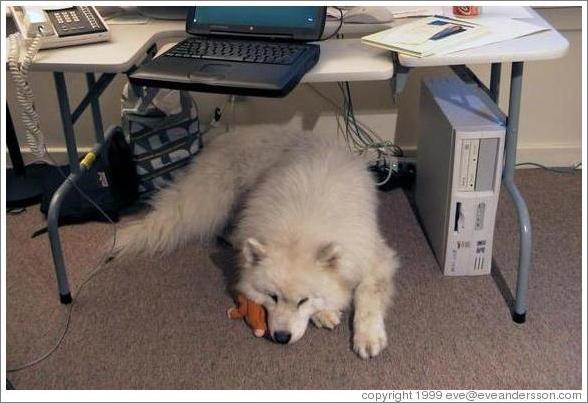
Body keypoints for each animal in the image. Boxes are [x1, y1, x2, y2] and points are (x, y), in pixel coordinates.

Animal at [113, 127, 400, 360]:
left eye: (303, 300)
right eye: (272, 297)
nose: (281, 338)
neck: (301, 227)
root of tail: (220, 138)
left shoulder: (374, 256)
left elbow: (368, 294)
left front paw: (367, 337)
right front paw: (326, 313)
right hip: (221, 198)